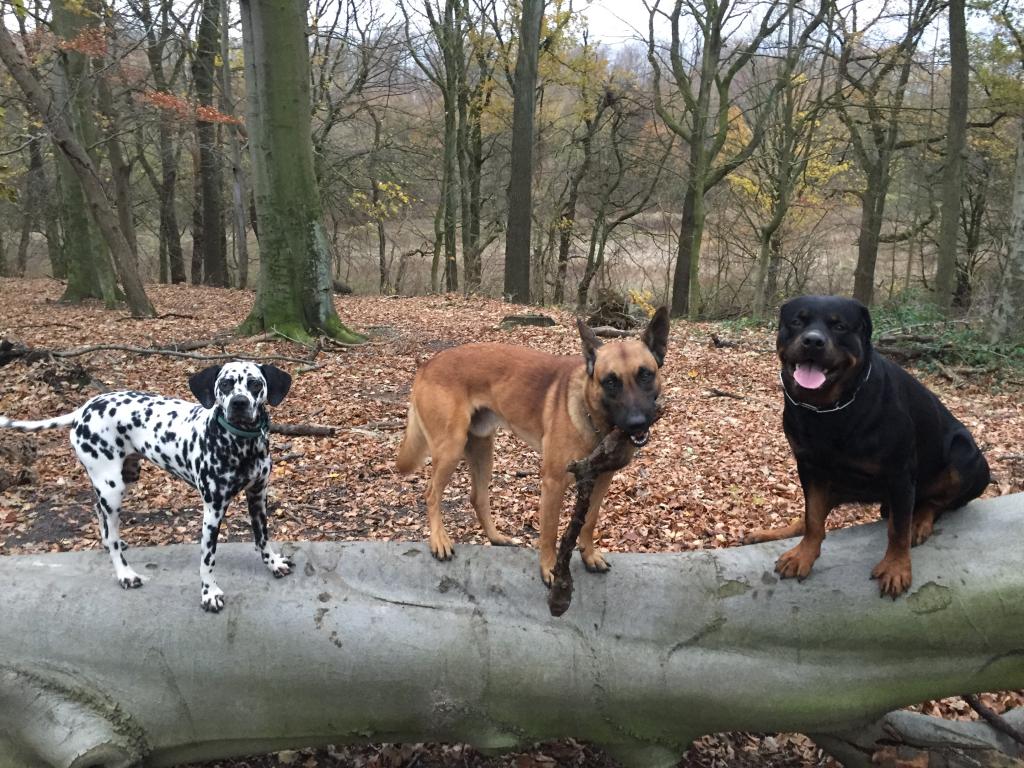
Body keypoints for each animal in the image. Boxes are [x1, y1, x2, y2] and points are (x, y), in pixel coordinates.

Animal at [0, 361, 295, 612]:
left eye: (255, 384)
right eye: (225, 384)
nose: (239, 403)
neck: (240, 445)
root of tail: (85, 408)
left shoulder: (258, 496)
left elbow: (262, 537)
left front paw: (273, 563)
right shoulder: (212, 511)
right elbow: (207, 559)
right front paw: (209, 593)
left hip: (122, 479)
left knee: (101, 514)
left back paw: (111, 542)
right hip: (112, 488)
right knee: (111, 532)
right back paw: (125, 574)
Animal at [396, 308, 670, 585]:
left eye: (645, 374)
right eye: (610, 381)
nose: (637, 423)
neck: (594, 418)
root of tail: (427, 364)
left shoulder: (602, 479)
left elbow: (590, 520)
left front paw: (589, 555)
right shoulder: (553, 483)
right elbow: (549, 532)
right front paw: (549, 568)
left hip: (483, 449)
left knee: (478, 497)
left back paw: (496, 537)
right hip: (451, 448)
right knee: (431, 493)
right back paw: (439, 540)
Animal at [744, 296, 990, 598]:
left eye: (839, 326)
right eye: (797, 322)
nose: (813, 341)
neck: (828, 409)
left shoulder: (900, 474)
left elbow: (898, 530)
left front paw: (896, 568)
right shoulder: (810, 468)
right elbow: (813, 517)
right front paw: (803, 555)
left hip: (966, 456)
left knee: (937, 502)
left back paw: (920, 520)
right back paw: (769, 533)